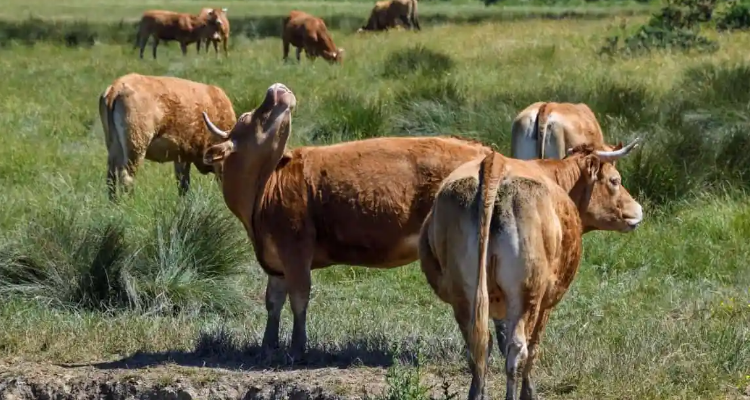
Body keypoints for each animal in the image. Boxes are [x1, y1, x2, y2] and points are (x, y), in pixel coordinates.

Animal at [98, 73, 236, 202]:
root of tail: (116, 87)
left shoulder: (180, 157)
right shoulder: (185, 156)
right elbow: (184, 184)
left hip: (114, 148)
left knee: (111, 176)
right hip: (136, 148)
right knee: (127, 177)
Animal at [200, 83, 500, 360]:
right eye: (247, 117)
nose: (277, 87)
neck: (265, 188)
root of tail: (486, 151)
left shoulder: (295, 250)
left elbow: (299, 297)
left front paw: (297, 349)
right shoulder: (276, 260)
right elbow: (273, 301)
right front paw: (267, 347)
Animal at [420, 139, 644, 398]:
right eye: (614, 180)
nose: (638, 209)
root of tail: (495, 162)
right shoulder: (547, 301)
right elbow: (534, 346)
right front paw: (529, 391)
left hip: (464, 296)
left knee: (478, 349)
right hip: (527, 294)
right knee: (518, 350)